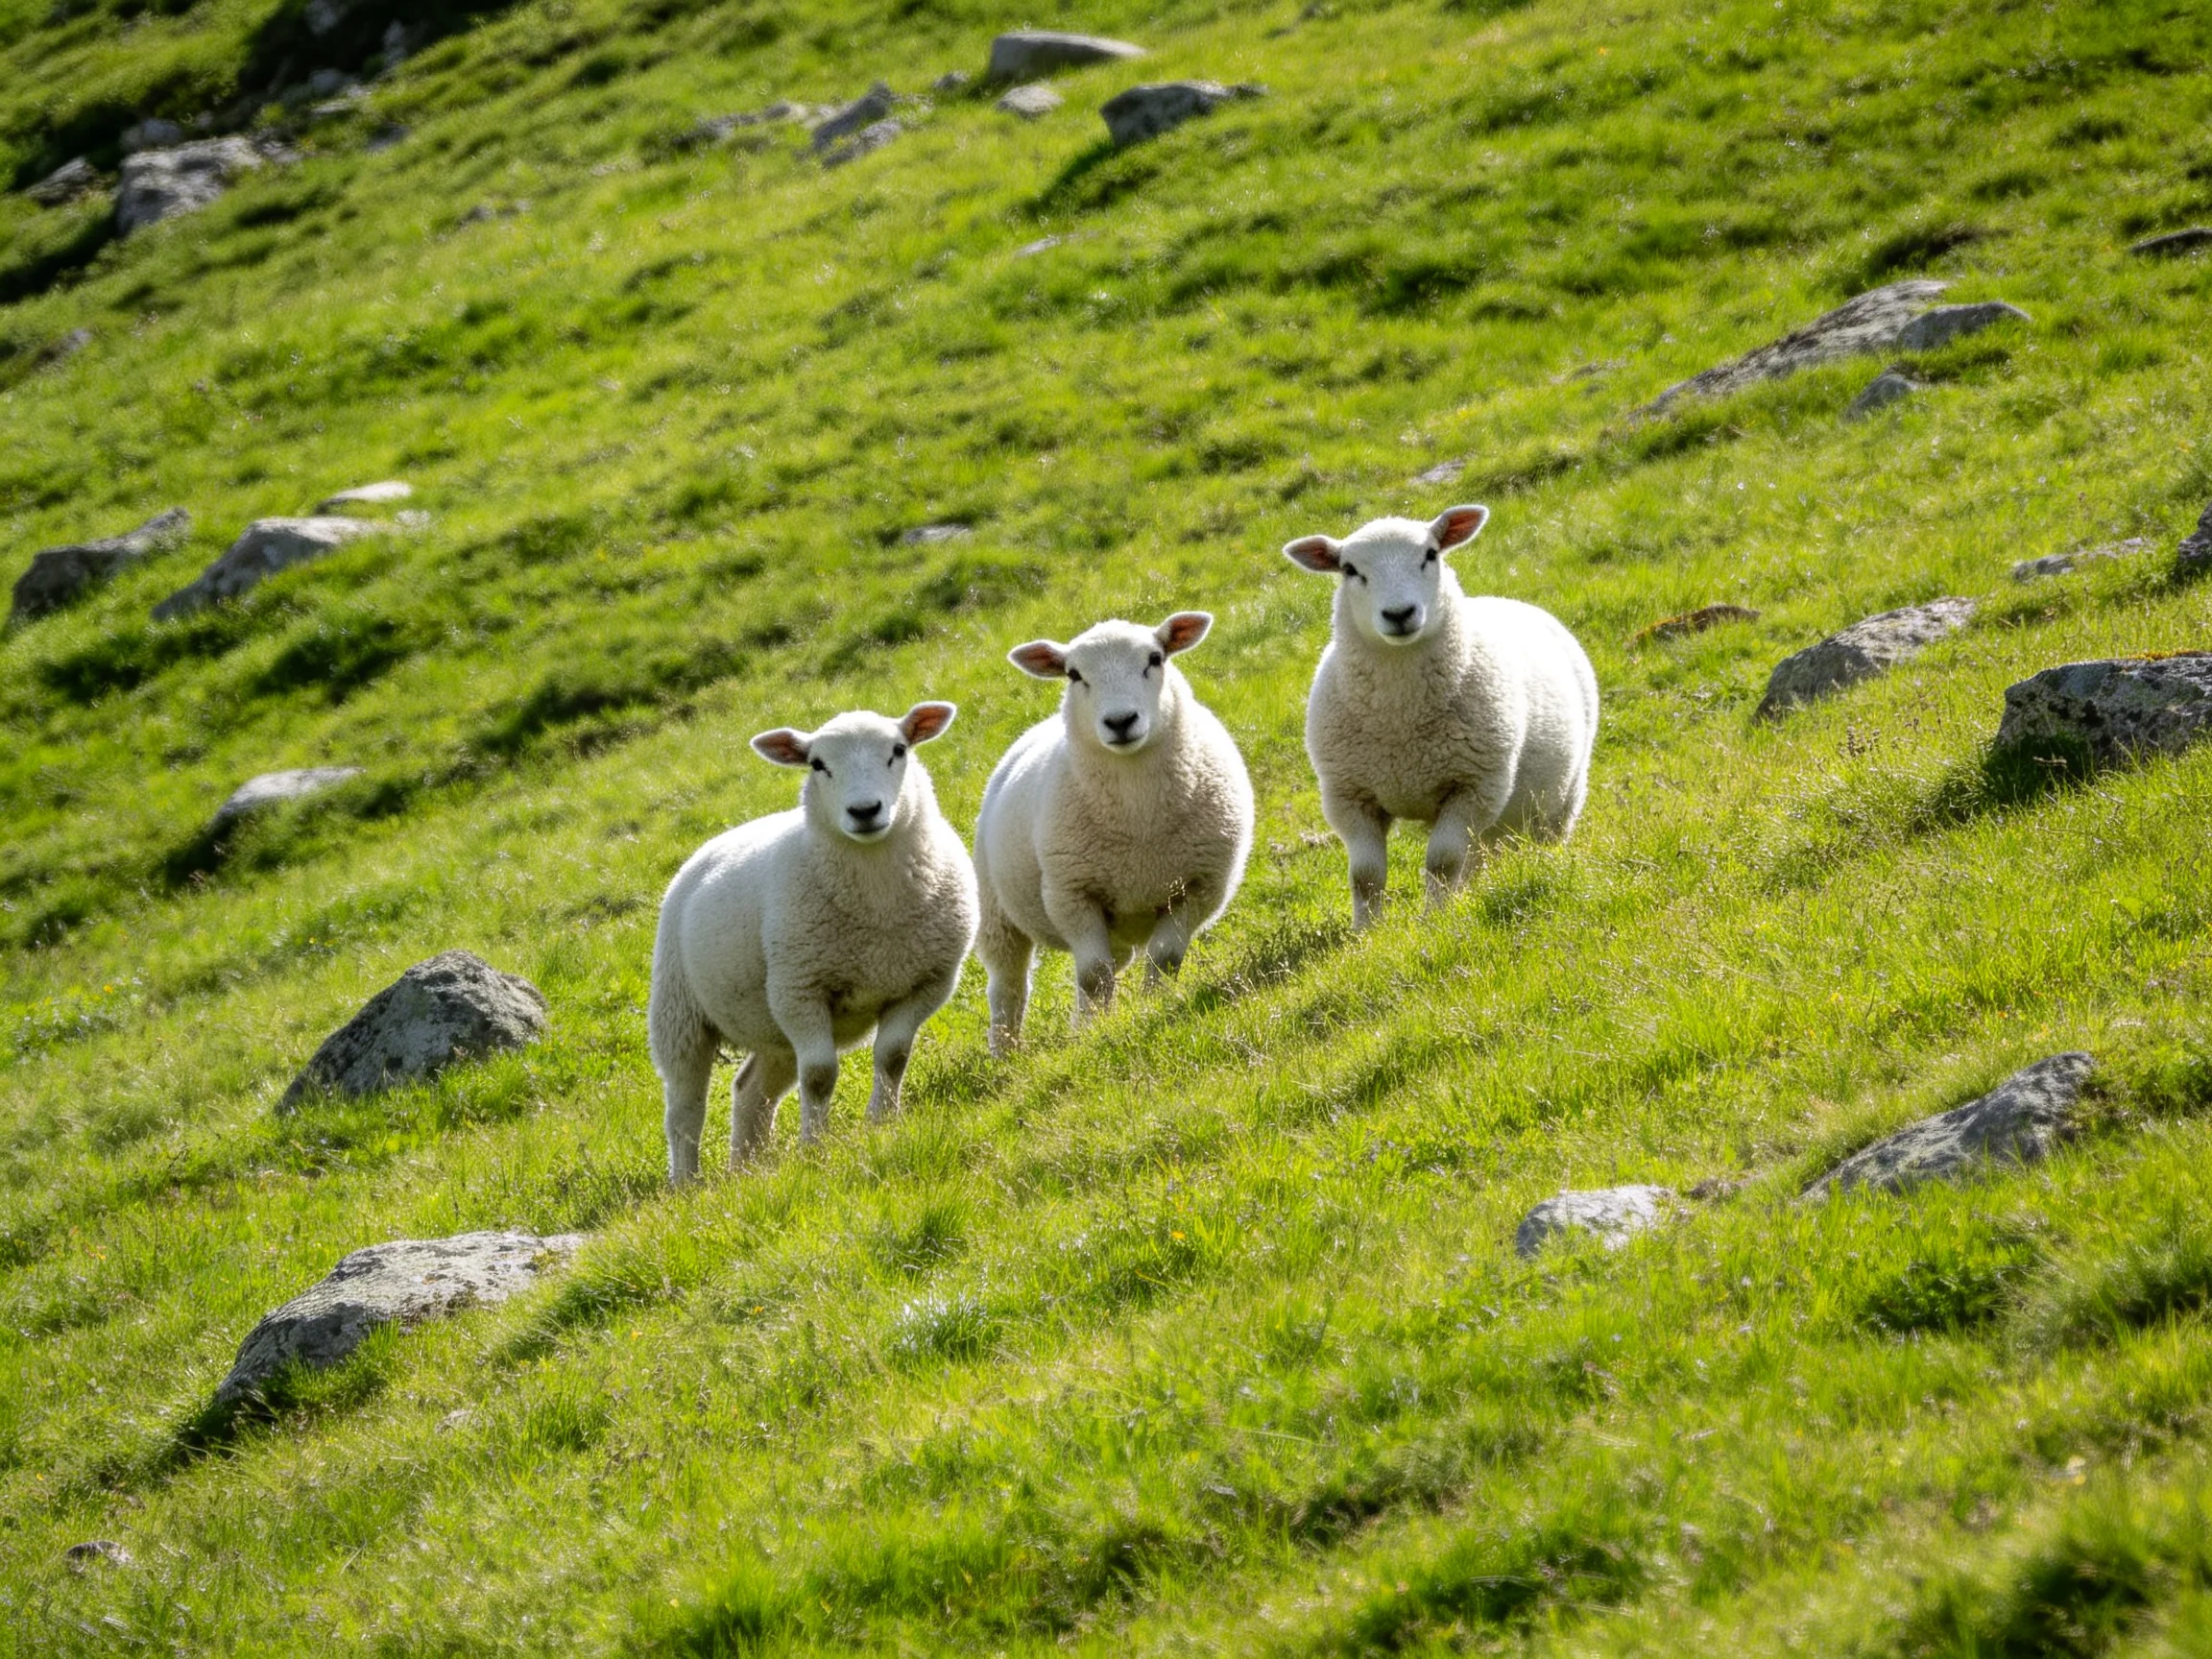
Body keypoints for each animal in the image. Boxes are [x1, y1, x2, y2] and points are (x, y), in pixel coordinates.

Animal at [648, 702, 979, 1182]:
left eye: (898, 750)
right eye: (817, 764)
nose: (864, 810)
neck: (878, 903)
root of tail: (708, 847)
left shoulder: (928, 982)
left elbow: (893, 1055)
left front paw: (882, 1121)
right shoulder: (799, 989)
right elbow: (820, 1075)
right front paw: (815, 1147)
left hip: (772, 1033)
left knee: (751, 1092)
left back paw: (748, 1169)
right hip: (679, 1013)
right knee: (684, 1109)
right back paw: (687, 1183)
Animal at [973, 613, 1254, 1053]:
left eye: (1155, 658)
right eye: (1074, 674)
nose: (1120, 722)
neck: (1138, 816)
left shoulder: (1198, 887)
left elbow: (1163, 959)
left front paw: (1151, 1006)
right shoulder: (1071, 893)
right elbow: (1093, 974)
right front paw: (1094, 1033)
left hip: (1118, 924)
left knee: (1113, 963)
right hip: (996, 911)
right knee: (1008, 986)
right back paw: (1006, 1052)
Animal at [1284, 505, 1598, 929]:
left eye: (1430, 555)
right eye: (1350, 570)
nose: (1399, 614)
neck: (1401, 717)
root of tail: (1509, 600)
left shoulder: (1474, 786)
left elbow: (1443, 862)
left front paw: (1435, 920)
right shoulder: (1349, 795)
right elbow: (1365, 876)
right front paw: (1367, 933)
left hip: (1563, 798)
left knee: (1544, 837)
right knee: (1479, 856)